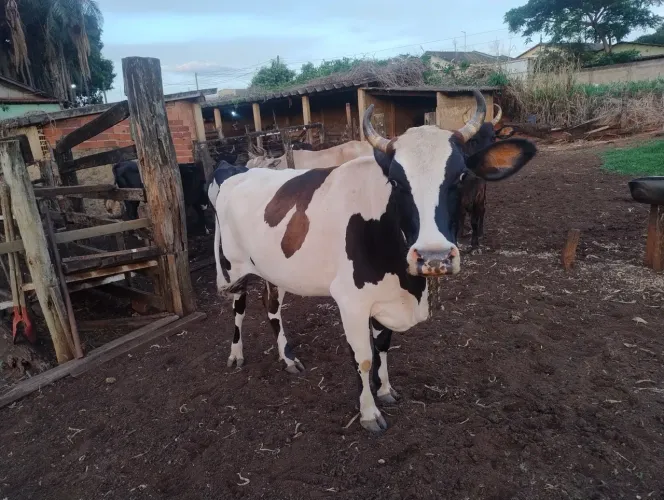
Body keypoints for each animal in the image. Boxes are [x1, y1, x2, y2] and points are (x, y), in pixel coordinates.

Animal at [211, 89, 536, 433]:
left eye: (460, 176)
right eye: (396, 182)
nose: (433, 256)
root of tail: (239, 173)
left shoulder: (384, 297)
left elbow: (382, 347)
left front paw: (385, 390)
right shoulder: (351, 301)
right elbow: (364, 357)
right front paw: (368, 413)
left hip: (274, 269)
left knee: (271, 305)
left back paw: (287, 358)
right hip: (233, 268)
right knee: (239, 307)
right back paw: (236, 354)